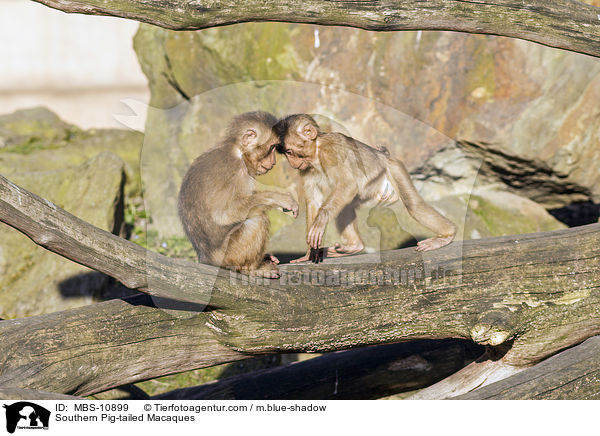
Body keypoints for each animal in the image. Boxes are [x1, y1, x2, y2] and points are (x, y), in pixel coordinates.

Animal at [179, 110, 298, 278]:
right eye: (272, 147)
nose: (273, 162)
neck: (239, 151)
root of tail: (206, 259)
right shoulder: (236, 170)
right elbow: (223, 214)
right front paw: (279, 199)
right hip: (229, 256)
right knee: (257, 219)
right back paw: (252, 269)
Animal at [276, 112, 454, 262]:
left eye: (290, 152)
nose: (291, 163)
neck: (317, 152)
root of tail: (385, 156)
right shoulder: (306, 169)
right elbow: (314, 200)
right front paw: (310, 252)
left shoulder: (331, 151)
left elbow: (348, 183)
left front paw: (320, 221)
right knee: (345, 207)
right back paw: (354, 246)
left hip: (394, 169)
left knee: (413, 205)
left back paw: (447, 235)